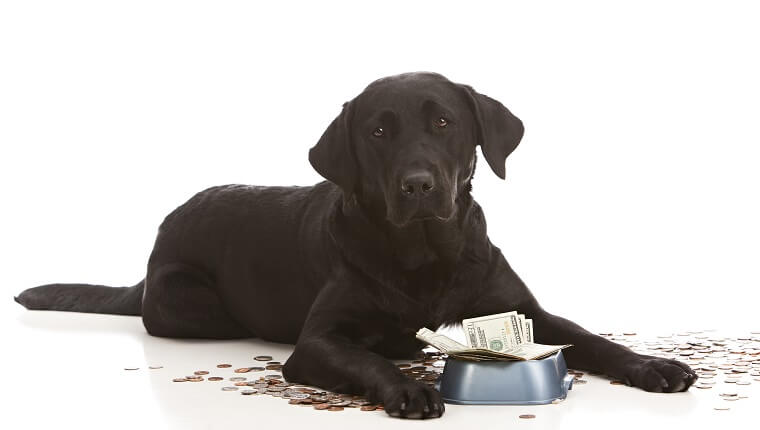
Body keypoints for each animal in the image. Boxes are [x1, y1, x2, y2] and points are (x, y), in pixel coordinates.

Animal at [16, 71, 696, 420]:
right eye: (377, 132)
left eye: (444, 122)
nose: (418, 184)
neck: (426, 256)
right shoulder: (318, 342)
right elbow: (362, 357)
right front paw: (405, 386)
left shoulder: (526, 311)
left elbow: (591, 338)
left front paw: (654, 365)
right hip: (192, 305)